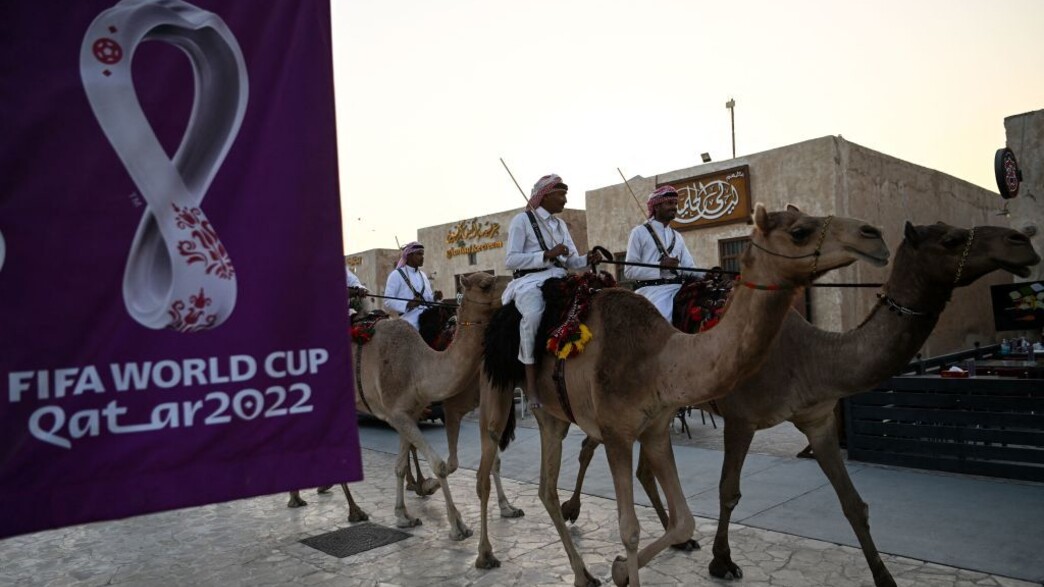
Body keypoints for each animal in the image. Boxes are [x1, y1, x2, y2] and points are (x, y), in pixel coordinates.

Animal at [354, 271, 505, 538]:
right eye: (486, 283)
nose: (513, 282)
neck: (417, 366)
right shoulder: (397, 414)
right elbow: (440, 465)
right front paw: (457, 524)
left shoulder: (408, 414)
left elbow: (399, 466)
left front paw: (403, 516)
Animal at [476, 205, 889, 584]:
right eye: (800, 232)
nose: (874, 235)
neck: (658, 357)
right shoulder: (618, 433)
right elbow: (629, 529)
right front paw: (634, 565)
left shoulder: (656, 427)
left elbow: (684, 520)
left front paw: (622, 567)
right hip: (497, 387)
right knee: (488, 462)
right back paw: (485, 554)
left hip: (554, 417)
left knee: (546, 488)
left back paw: (583, 572)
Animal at [559, 220, 1039, 584]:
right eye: (952, 239)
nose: (1023, 241)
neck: (808, 355)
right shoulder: (741, 419)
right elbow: (729, 491)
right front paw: (722, 561)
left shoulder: (818, 418)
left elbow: (854, 503)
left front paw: (884, 576)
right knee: (590, 445)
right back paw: (573, 508)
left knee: (635, 463)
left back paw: (676, 536)